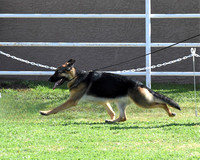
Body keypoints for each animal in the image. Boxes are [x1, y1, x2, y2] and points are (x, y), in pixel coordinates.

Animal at [39, 59, 180, 123]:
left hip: (143, 103)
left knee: (163, 104)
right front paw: (111, 117)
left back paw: (170, 113)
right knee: (123, 117)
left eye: (57, 72)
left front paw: (46, 112)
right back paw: (111, 121)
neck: (77, 76)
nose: (49, 79)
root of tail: (140, 84)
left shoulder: (71, 101)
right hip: (120, 103)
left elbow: (57, 108)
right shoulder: (104, 101)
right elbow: (111, 111)